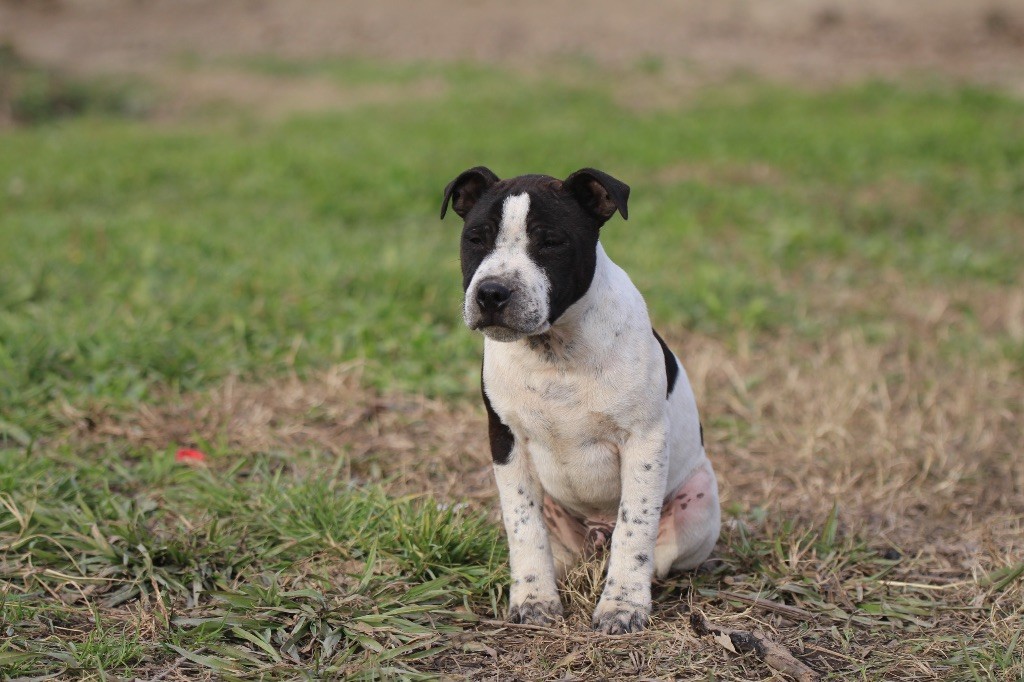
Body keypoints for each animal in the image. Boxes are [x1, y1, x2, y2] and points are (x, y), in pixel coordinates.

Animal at [440, 164, 720, 630]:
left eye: (551, 242)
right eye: (475, 239)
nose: (492, 293)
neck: (554, 349)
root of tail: (595, 536)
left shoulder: (644, 441)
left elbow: (635, 527)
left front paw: (623, 605)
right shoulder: (506, 440)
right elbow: (524, 525)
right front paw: (533, 597)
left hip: (698, 503)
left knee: (652, 551)